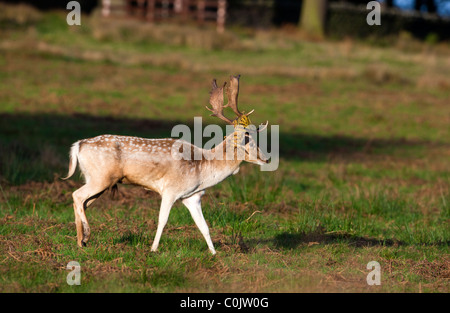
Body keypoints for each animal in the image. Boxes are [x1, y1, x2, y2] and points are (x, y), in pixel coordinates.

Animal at [62, 75, 268, 254]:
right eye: (248, 140)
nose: (266, 158)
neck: (203, 169)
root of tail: (78, 145)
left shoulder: (192, 197)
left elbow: (204, 227)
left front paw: (214, 253)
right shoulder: (170, 189)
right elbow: (162, 220)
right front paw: (153, 249)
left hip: (98, 180)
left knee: (82, 201)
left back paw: (82, 240)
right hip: (101, 177)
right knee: (77, 195)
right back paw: (84, 237)